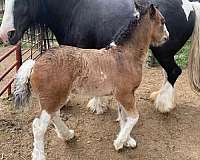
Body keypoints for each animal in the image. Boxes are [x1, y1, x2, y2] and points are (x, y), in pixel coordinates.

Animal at [0, 0, 200, 114]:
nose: (6, 34)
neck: (74, 10)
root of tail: (190, 5)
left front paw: (95, 105)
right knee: (168, 73)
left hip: (163, 51)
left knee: (173, 71)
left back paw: (163, 104)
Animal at [12, 4, 169, 159]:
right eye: (162, 21)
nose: (167, 37)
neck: (125, 55)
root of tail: (35, 63)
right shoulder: (124, 94)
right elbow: (133, 117)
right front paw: (119, 143)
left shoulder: (125, 94)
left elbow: (124, 117)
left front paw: (127, 140)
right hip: (51, 98)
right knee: (38, 127)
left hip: (56, 97)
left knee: (54, 116)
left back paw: (67, 134)